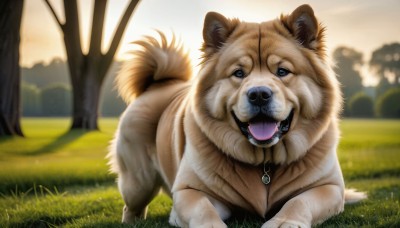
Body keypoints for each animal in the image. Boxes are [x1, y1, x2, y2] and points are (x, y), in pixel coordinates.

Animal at [108, 4, 366, 228]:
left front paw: (284, 222)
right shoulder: (189, 191)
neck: (265, 165)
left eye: (282, 71)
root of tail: (157, 85)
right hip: (138, 183)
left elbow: (299, 201)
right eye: (239, 73)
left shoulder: (329, 187)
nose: (259, 94)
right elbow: (203, 208)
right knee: (131, 207)